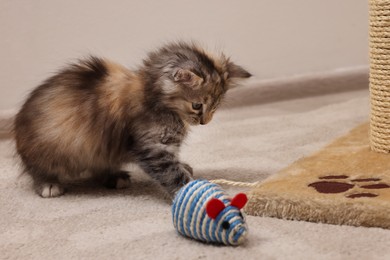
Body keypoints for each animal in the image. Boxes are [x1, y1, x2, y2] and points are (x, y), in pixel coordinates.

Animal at [13, 42, 251, 197]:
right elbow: (171, 173)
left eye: (215, 107)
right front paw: (193, 191)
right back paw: (48, 184)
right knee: (38, 168)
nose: (205, 122)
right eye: (197, 105)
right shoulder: (151, 147)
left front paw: (184, 166)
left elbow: (175, 162)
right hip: (54, 147)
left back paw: (114, 176)